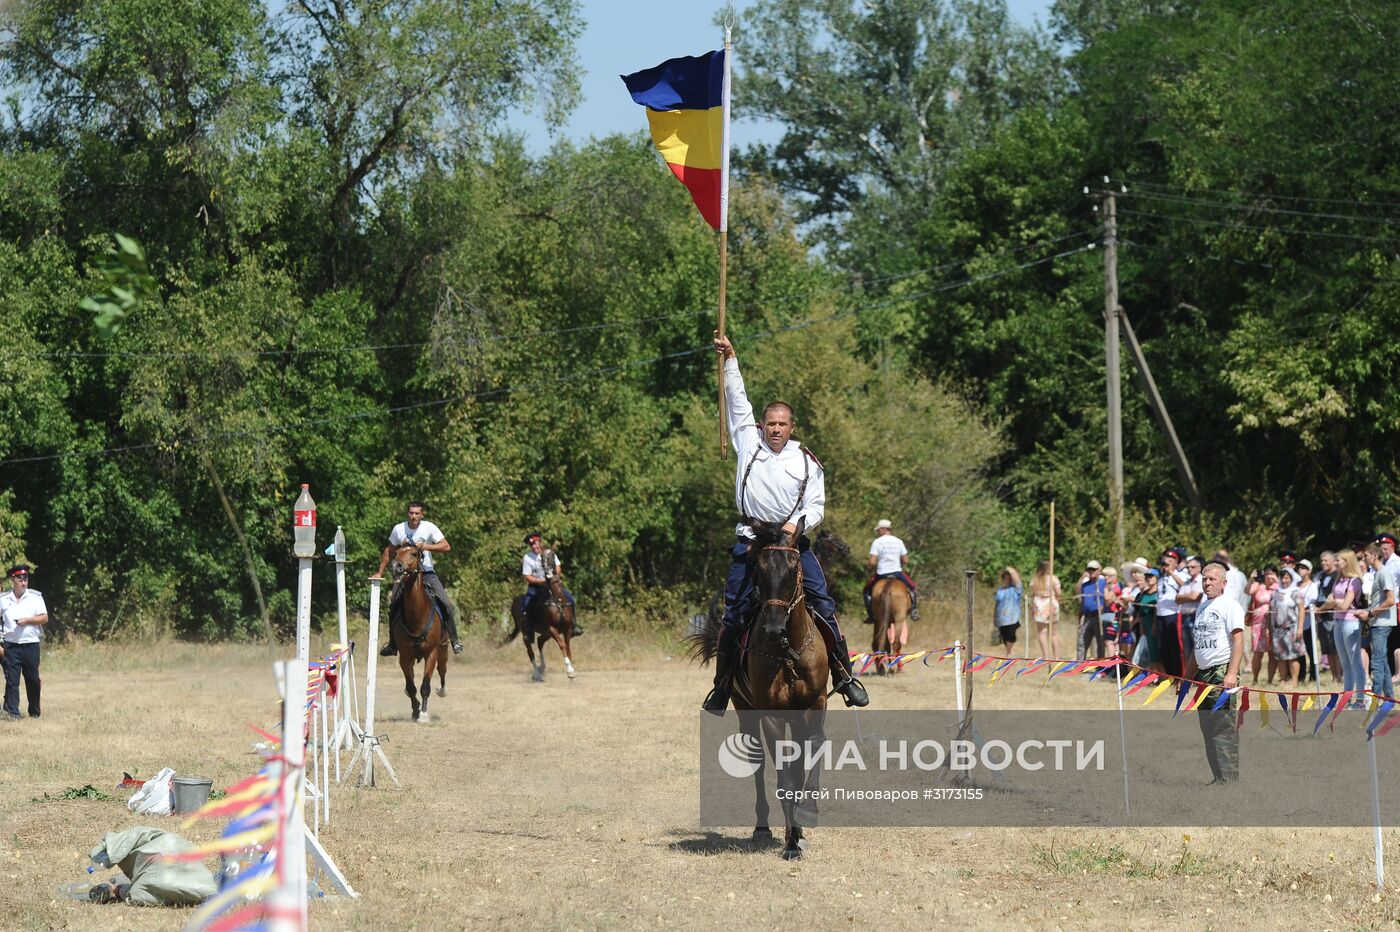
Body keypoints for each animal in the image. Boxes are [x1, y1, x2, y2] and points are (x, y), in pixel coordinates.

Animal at [392, 540, 445, 722]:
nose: (396, 566)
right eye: (396, 553)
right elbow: (411, 686)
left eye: (414, 554)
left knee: (442, 671)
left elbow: (425, 685)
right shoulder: (405, 656)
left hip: (443, 650)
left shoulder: (432, 653)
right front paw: (415, 710)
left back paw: (442, 690)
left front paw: (423, 713)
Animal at [504, 545, 574, 682]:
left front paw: (572, 668)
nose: (548, 572)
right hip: (528, 634)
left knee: (540, 641)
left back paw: (541, 669)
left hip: (545, 633)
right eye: (542, 558)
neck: (556, 600)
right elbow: (562, 645)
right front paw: (570, 671)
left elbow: (568, 646)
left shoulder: (566, 628)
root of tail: (515, 601)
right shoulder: (552, 628)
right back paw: (537, 674)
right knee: (530, 652)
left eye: (552, 555)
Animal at [691, 514, 823, 856]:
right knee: (759, 763)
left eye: (794, 567)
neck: (788, 649)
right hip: (745, 709)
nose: (774, 627)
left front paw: (806, 816)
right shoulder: (772, 715)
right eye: (759, 570)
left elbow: (811, 755)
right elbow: (784, 779)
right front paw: (791, 844)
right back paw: (763, 828)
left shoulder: (814, 706)